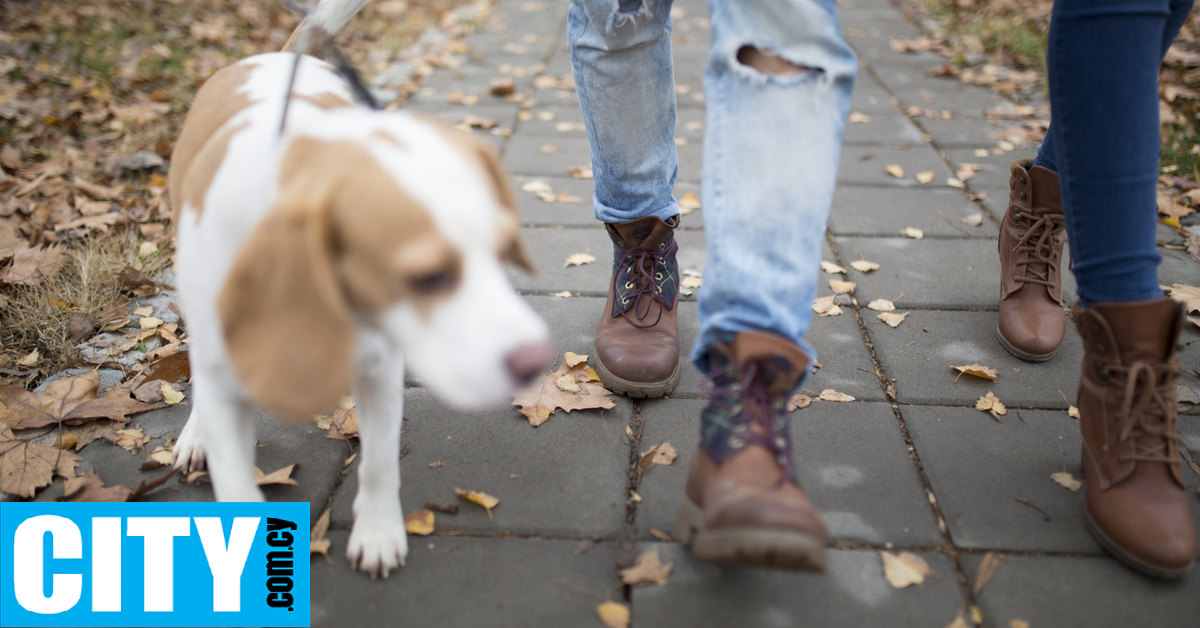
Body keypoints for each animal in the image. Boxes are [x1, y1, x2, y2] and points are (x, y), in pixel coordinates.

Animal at [168, 3, 552, 581]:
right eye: (427, 278)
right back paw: (195, 434)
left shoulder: (381, 372)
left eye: (505, 250)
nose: (535, 361)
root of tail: (278, 59)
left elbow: (377, 463)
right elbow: (235, 489)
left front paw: (376, 531)